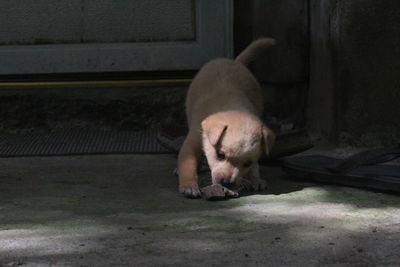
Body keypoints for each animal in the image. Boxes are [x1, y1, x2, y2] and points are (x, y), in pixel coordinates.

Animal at [177, 38, 276, 199]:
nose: (226, 183)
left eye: (247, 163)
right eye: (220, 155)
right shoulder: (192, 144)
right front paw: (189, 186)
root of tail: (234, 61)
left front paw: (255, 179)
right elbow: (188, 164)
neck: (231, 105)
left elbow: (255, 166)